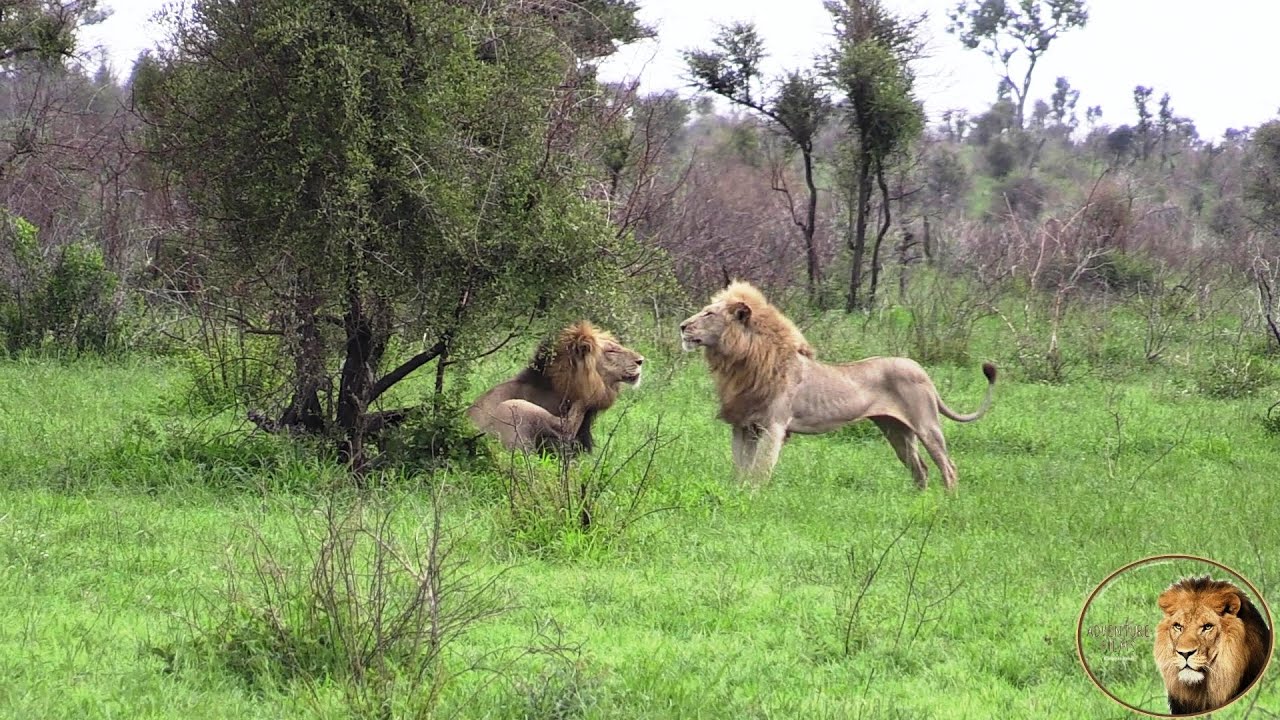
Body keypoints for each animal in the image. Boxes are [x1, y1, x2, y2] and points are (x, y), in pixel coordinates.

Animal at [679, 281, 995, 490]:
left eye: (708, 314)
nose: (682, 326)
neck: (739, 362)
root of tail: (922, 370)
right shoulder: (743, 425)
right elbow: (740, 468)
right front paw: (736, 491)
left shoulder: (774, 425)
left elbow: (760, 470)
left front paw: (752, 497)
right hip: (896, 430)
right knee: (921, 469)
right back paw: (920, 501)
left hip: (926, 424)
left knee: (947, 467)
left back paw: (947, 502)